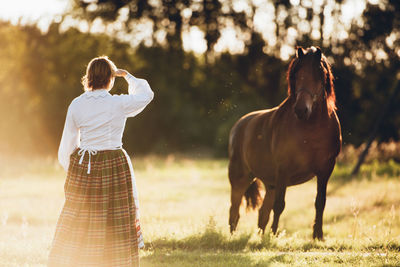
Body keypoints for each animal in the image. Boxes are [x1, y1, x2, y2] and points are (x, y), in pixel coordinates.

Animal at [228, 46, 340, 241]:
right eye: (296, 75)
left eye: (318, 74)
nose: (301, 109)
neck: (312, 129)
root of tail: (239, 125)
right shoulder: (283, 170)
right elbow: (280, 205)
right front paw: (274, 235)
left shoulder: (325, 170)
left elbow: (320, 202)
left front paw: (318, 236)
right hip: (240, 179)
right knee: (235, 210)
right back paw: (235, 236)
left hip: (270, 184)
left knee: (262, 213)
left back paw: (259, 238)